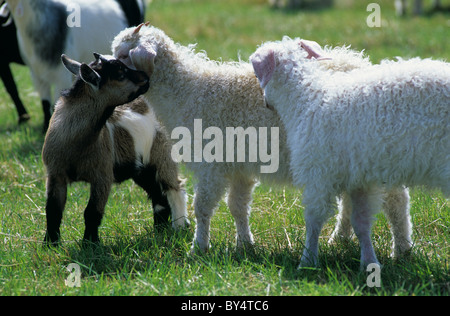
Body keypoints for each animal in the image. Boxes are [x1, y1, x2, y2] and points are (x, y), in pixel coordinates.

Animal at [42, 54, 188, 246]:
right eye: (120, 74)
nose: (146, 77)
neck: (75, 145)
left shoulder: (103, 175)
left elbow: (92, 212)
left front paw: (90, 244)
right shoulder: (55, 174)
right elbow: (53, 209)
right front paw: (50, 244)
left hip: (163, 153)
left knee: (175, 187)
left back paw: (178, 227)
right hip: (141, 169)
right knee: (158, 195)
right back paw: (160, 230)